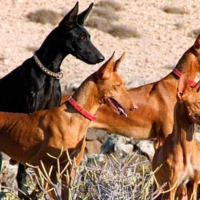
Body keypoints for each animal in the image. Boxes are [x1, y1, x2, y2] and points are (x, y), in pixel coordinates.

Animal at [0, 1, 105, 198]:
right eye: (81, 37)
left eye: (89, 36)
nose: (101, 58)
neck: (49, 72)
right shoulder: (29, 115)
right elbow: (24, 165)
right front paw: (24, 191)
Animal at [0, 52, 136, 199]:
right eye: (118, 85)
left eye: (123, 84)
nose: (135, 107)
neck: (73, 118)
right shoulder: (41, 166)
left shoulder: (68, 170)